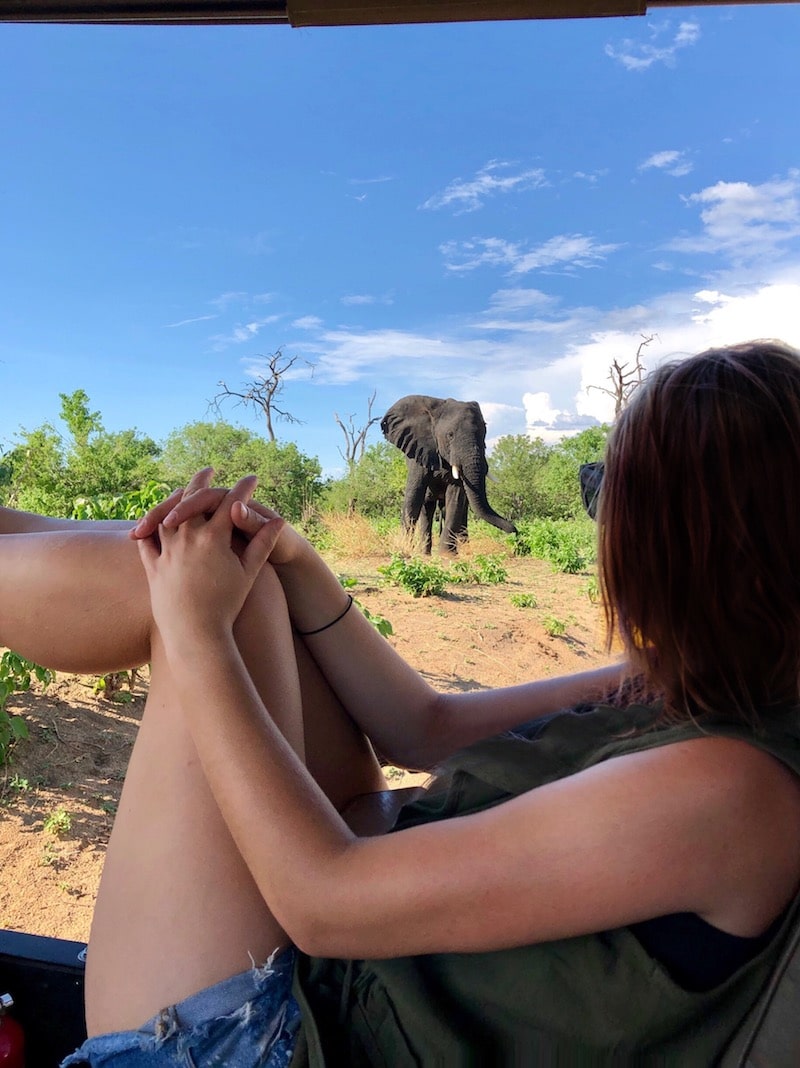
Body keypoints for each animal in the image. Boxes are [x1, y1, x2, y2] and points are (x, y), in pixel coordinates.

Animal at [380, 397, 519, 555]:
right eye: (450, 435)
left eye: (484, 435)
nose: (515, 535)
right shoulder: (419, 452)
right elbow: (414, 495)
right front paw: (403, 549)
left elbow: (455, 497)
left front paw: (447, 555)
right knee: (427, 506)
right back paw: (425, 553)